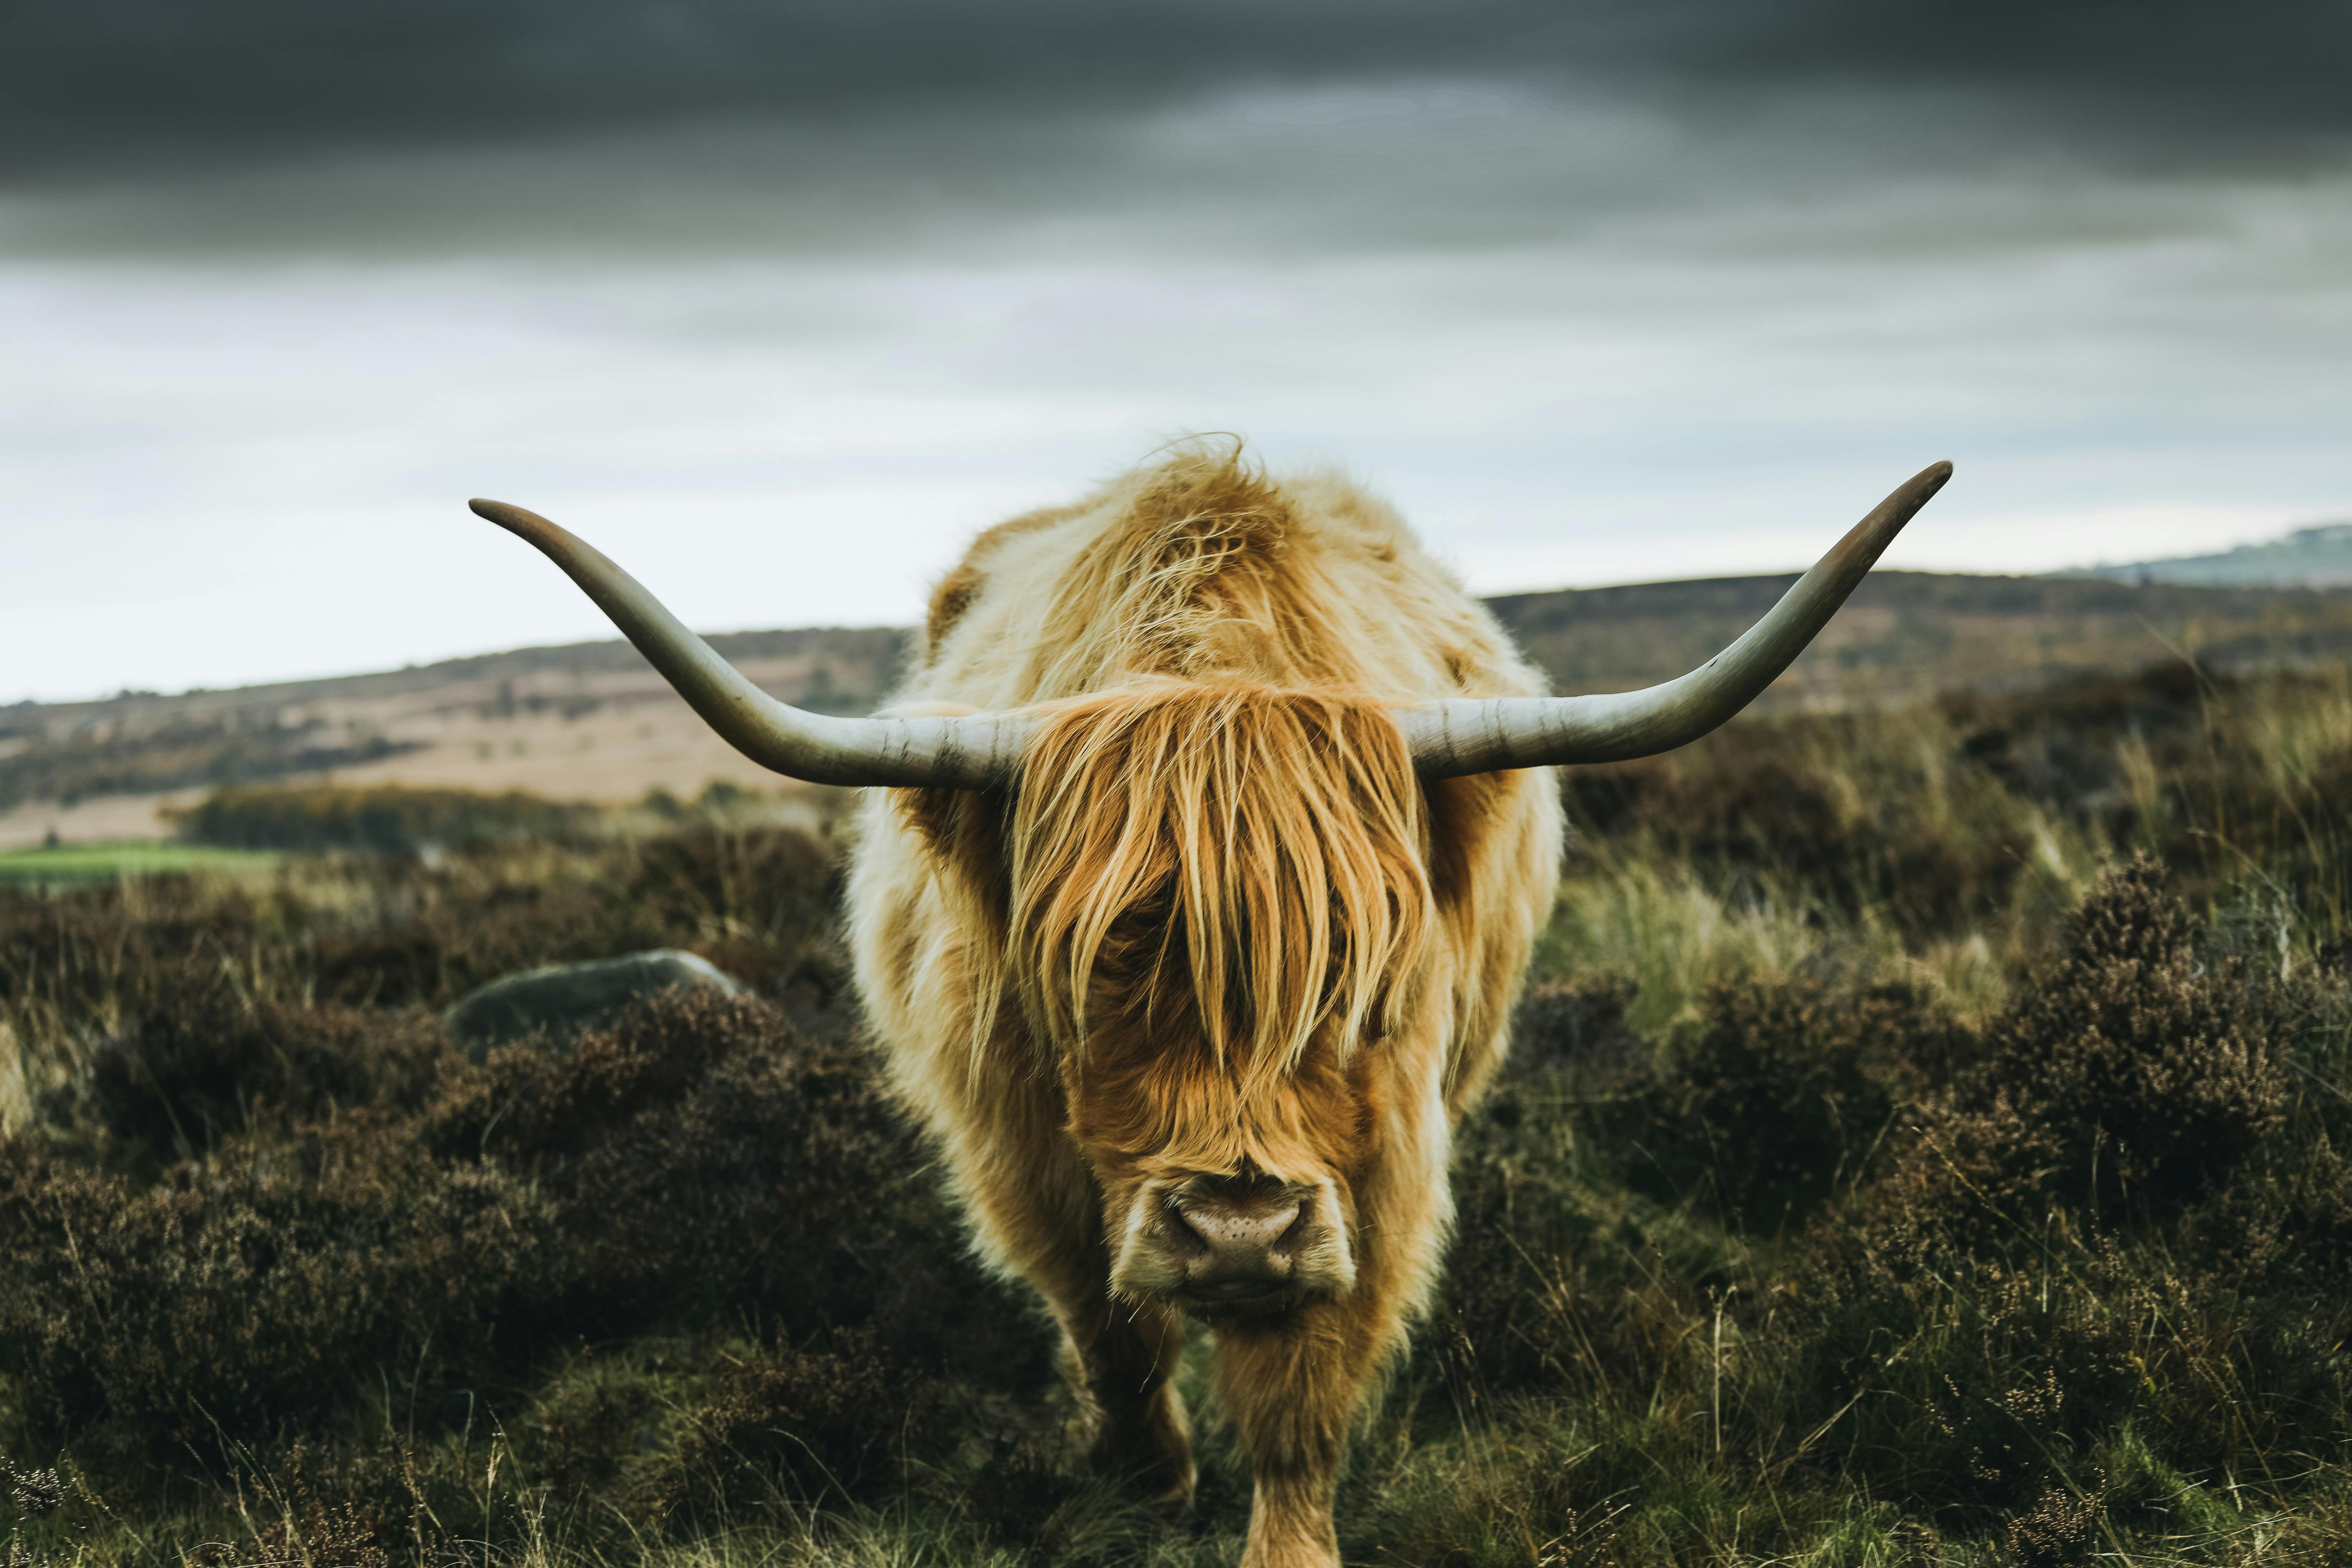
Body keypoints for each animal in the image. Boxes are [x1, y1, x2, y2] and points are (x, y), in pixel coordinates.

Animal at [471, 441, 1948, 1568]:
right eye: (1094, 971)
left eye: (1358, 973)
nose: (1236, 1229)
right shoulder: (1026, 1156)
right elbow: (1109, 1326)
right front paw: (1145, 1484)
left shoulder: (1372, 1174)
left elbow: (1301, 1397)